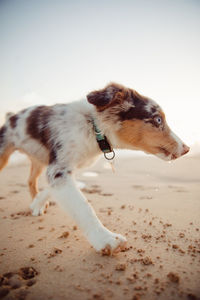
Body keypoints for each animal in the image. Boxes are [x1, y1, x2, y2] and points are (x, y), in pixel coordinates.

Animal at [0, 83, 189, 254]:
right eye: (158, 119)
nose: (187, 149)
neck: (93, 127)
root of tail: (11, 116)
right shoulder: (59, 169)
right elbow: (83, 207)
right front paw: (106, 240)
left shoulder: (69, 168)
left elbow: (53, 189)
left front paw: (37, 203)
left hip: (39, 159)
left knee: (30, 180)